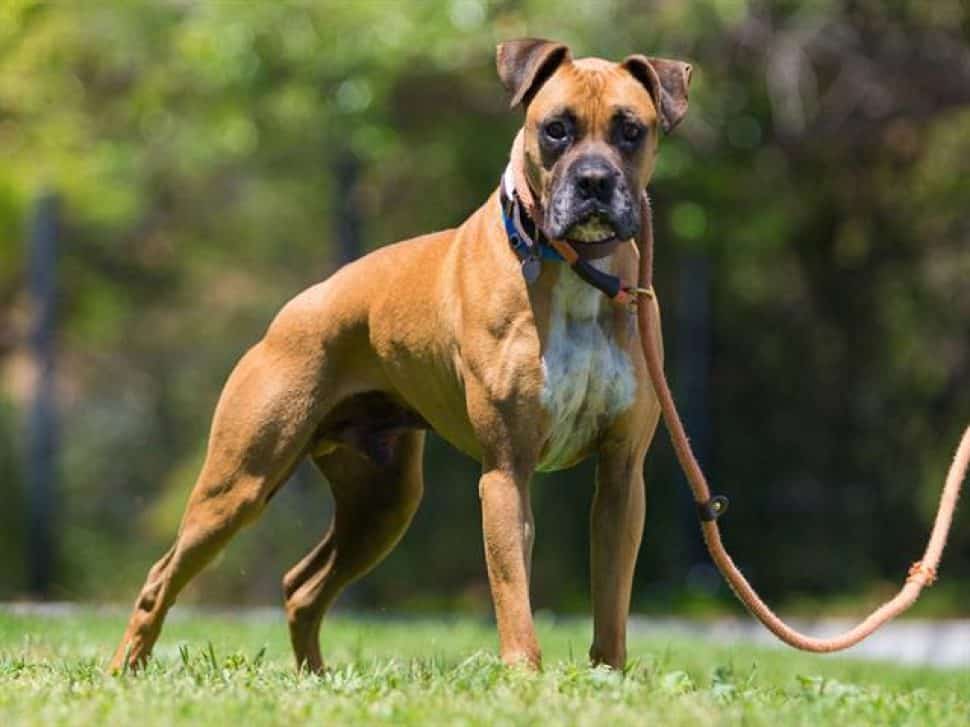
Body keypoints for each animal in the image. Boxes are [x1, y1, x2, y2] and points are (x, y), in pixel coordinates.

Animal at [111, 37, 688, 672]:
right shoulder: (506, 473)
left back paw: (314, 679)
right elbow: (514, 595)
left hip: (381, 503)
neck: (574, 268)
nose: (593, 181)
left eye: (630, 130)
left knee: (302, 587)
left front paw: (608, 678)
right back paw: (124, 671)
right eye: (556, 129)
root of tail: (297, 308)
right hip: (238, 486)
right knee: (160, 579)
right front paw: (526, 678)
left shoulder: (622, 477)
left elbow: (611, 602)